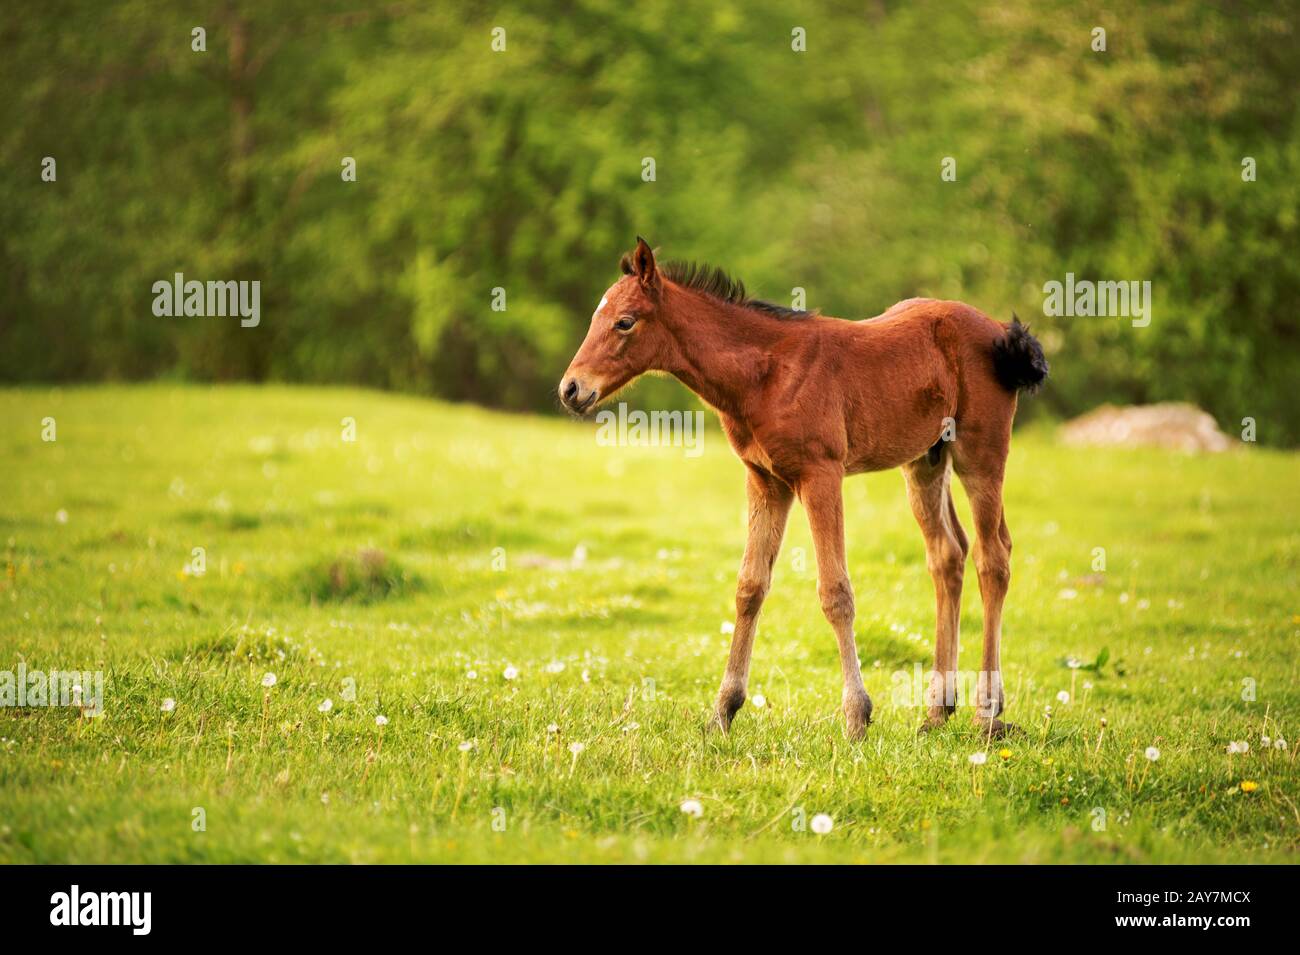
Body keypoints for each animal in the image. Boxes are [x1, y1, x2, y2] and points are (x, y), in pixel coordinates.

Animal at [559, 239, 1045, 738]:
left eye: (625, 321)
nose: (571, 389)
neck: (766, 374)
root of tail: (1000, 330)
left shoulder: (820, 475)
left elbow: (836, 592)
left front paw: (856, 717)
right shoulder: (765, 479)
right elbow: (750, 586)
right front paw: (722, 712)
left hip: (980, 454)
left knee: (994, 557)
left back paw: (987, 712)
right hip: (925, 461)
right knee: (948, 554)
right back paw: (936, 711)